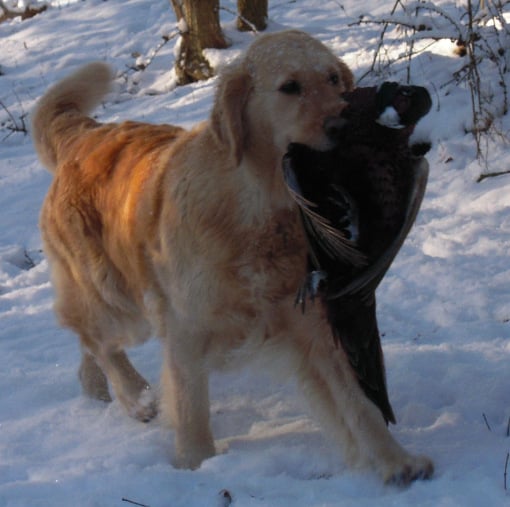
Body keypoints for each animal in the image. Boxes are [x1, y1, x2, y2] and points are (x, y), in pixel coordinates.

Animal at [31, 29, 432, 482]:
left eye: (333, 79)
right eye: (290, 87)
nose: (342, 125)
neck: (258, 208)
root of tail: (83, 135)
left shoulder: (313, 322)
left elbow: (359, 404)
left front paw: (396, 461)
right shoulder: (186, 326)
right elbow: (191, 407)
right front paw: (196, 464)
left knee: (85, 336)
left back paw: (94, 386)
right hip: (115, 295)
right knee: (96, 337)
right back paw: (134, 395)